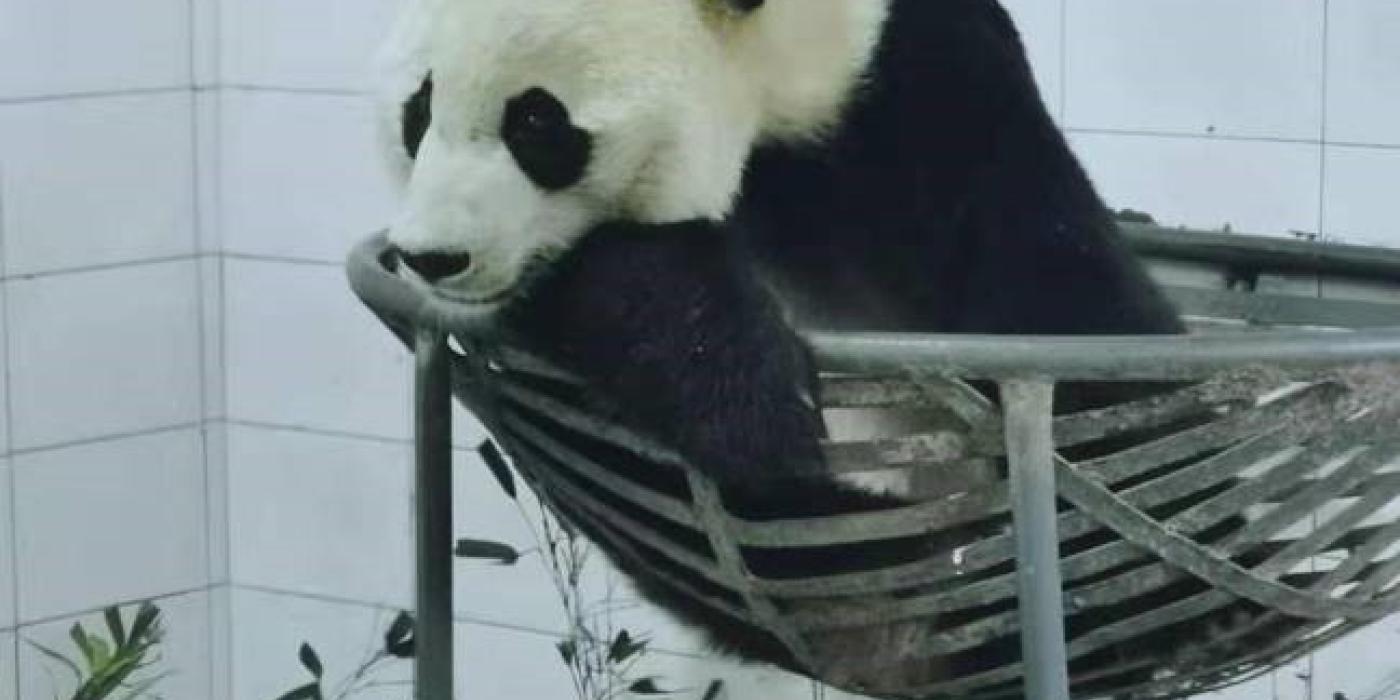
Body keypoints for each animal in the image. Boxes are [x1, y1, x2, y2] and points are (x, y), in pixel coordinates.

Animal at [369, 0, 1248, 691]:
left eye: (536, 123)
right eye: (418, 109)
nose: (432, 256)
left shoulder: (921, 80)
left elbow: (1059, 277)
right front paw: (752, 401)